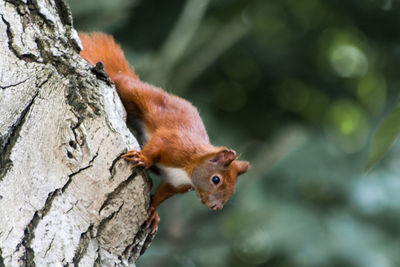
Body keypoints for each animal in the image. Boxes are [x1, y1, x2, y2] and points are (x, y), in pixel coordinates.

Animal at [79, 32, 248, 233]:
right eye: (216, 179)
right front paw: (143, 159)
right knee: (121, 82)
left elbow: (162, 194)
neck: (189, 170)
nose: (216, 207)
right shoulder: (174, 143)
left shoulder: (175, 184)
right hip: (135, 92)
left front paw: (154, 212)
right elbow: (156, 145)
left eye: (233, 189)